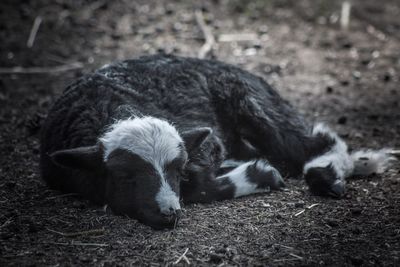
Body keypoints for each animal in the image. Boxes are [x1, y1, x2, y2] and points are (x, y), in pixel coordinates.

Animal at [40, 55, 394, 230]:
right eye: (125, 176)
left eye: (176, 168)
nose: (169, 213)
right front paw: (259, 172)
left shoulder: (207, 146)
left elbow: (198, 186)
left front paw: (263, 175)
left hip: (249, 98)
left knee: (308, 141)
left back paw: (329, 173)